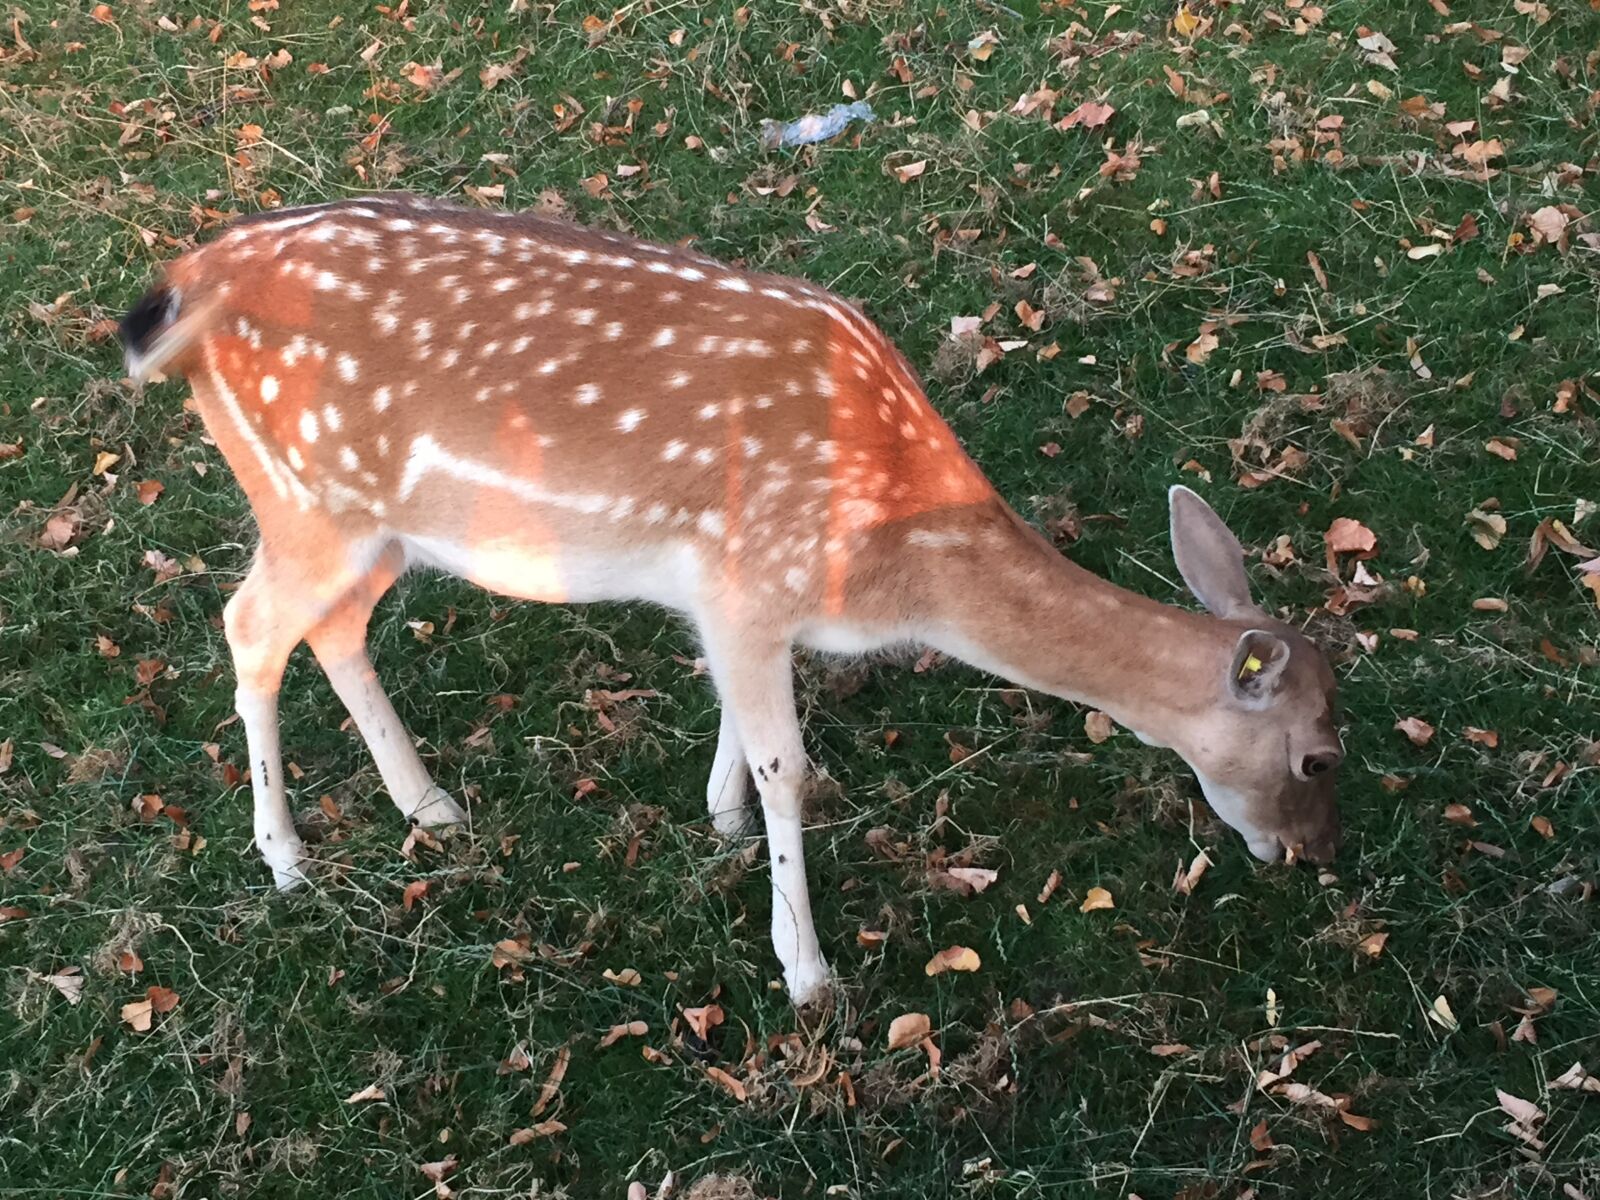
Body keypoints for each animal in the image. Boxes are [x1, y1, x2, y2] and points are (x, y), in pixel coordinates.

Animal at [120, 193, 1344, 1005]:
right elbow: (790, 768)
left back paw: (431, 806)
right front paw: (806, 970)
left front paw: (715, 814)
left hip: (371, 526)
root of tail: (185, 286)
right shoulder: (756, 582)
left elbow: (739, 728)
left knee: (330, 626)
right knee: (248, 624)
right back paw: (286, 856)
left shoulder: (730, 600)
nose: (1311, 855)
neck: (894, 563)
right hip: (307, 496)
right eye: (1318, 756)